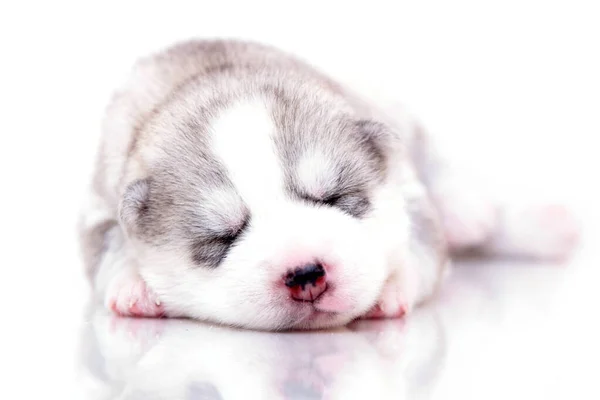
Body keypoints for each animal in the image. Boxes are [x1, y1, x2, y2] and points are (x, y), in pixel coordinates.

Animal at [81, 39, 580, 330]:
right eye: (222, 238)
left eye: (336, 199)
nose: (305, 273)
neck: (221, 77)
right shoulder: (103, 203)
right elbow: (108, 247)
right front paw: (132, 283)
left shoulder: (405, 185)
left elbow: (420, 243)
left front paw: (392, 285)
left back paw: (488, 214)